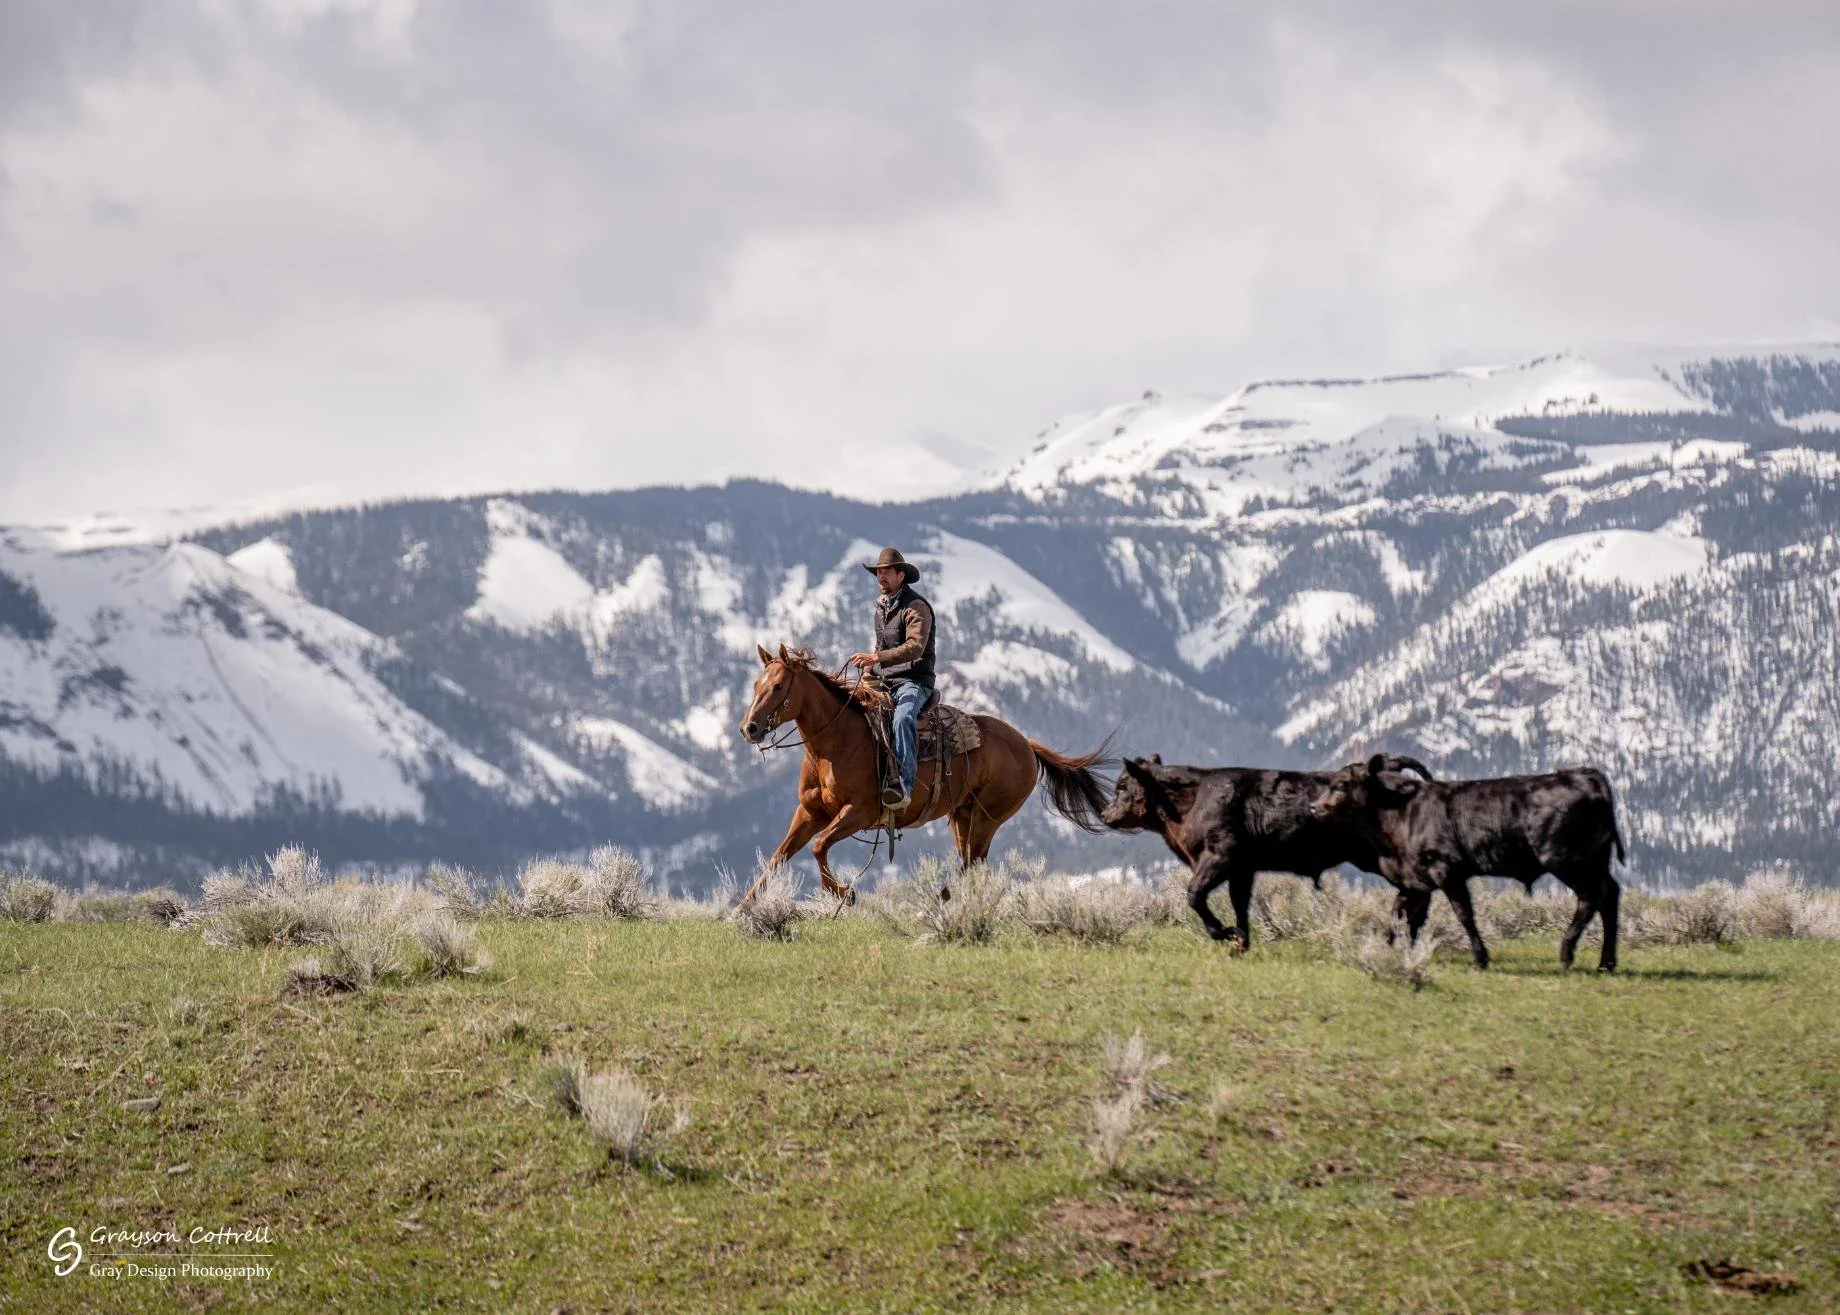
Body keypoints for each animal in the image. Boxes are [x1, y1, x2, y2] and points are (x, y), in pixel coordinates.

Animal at [736, 644, 1112, 904]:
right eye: (756, 684)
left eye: (779, 686)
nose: (749, 728)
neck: (836, 742)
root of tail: (1027, 746)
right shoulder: (810, 812)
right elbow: (778, 857)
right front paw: (741, 912)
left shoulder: (858, 813)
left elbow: (818, 847)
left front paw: (845, 893)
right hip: (961, 816)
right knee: (972, 865)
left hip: (987, 818)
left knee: (973, 865)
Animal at [1100, 753, 1433, 951]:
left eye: (1122, 785)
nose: (1104, 814)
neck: (1194, 798)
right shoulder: (1242, 870)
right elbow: (1240, 904)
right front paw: (1239, 943)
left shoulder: (1220, 856)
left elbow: (1194, 895)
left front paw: (1222, 933)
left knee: (1416, 893)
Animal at [1311, 753, 1626, 972]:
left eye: (1342, 785)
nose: (1314, 807)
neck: (1402, 812)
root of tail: (1583, 775)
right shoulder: (1415, 881)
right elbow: (1398, 915)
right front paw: (1383, 950)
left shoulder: (1445, 870)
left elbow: (1464, 914)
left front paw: (1480, 958)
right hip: (1596, 859)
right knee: (1610, 895)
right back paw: (1605, 963)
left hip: (1563, 859)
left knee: (1591, 896)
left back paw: (1566, 953)